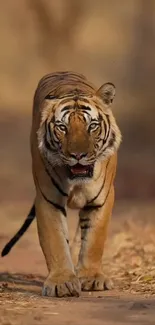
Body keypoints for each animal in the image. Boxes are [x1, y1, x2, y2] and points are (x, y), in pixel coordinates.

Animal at [1, 71, 122, 296]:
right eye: (62, 128)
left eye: (92, 126)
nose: (78, 155)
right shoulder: (48, 199)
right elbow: (55, 241)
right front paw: (62, 282)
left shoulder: (102, 199)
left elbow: (94, 240)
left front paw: (91, 278)